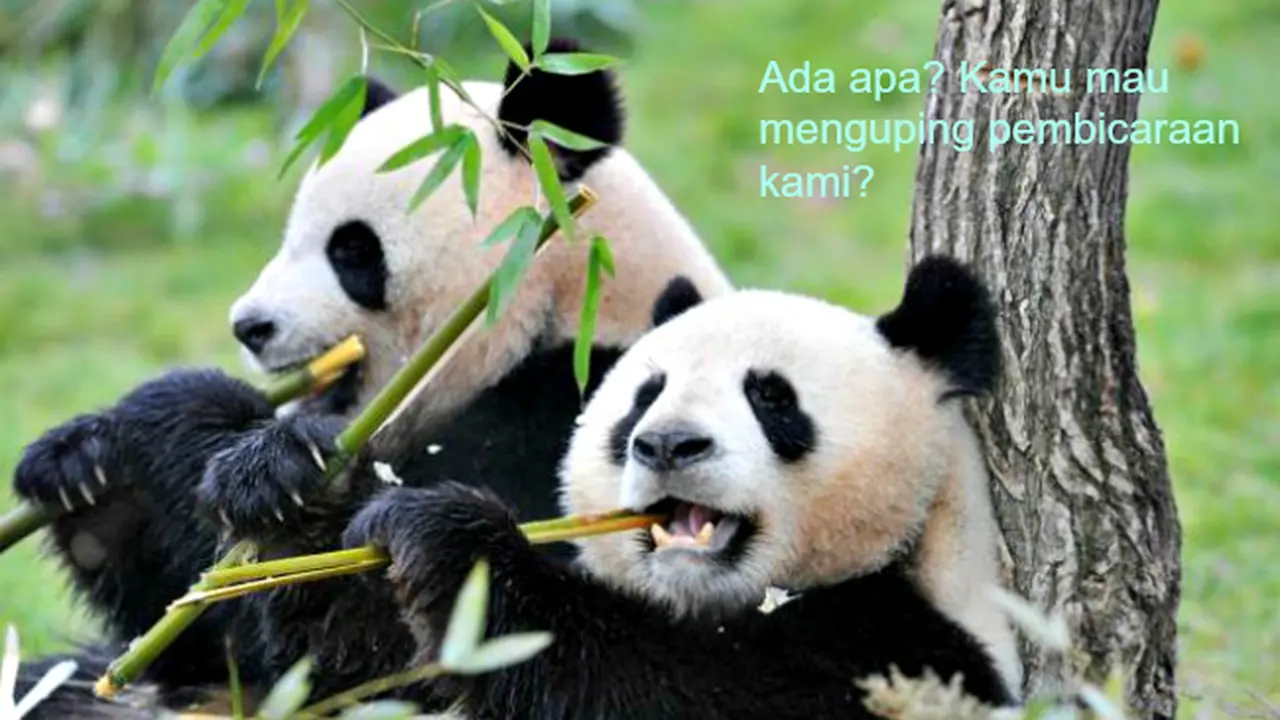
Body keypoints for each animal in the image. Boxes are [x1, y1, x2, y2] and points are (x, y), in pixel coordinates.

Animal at [10, 39, 731, 716]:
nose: (250, 325)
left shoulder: (566, 420)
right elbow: (212, 647)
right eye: (289, 238)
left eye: (352, 250)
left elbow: (382, 650)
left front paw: (268, 469)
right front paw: (83, 463)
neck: (564, 308)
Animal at [341, 255, 1022, 718]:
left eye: (772, 397)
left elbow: (661, 685)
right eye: (646, 396)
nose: (668, 444)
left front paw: (447, 538)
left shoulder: (903, 651)